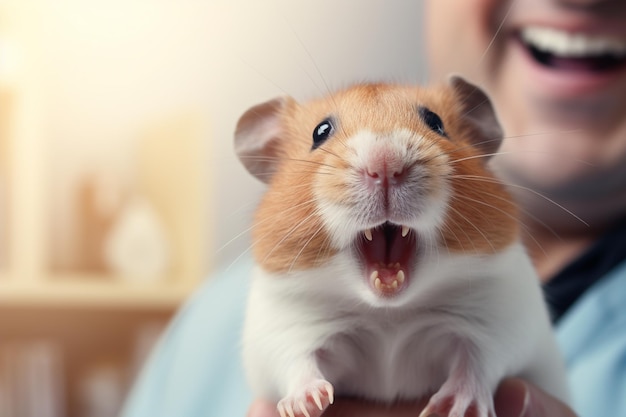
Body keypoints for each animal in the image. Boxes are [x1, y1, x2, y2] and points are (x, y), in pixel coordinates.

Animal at [233, 76, 564, 416]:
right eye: (320, 132)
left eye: (436, 122)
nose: (384, 163)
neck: (389, 314)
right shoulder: (285, 332)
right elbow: (297, 364)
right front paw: (306, 404)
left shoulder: (501, 325)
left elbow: (478, 363)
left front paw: (453, 408)